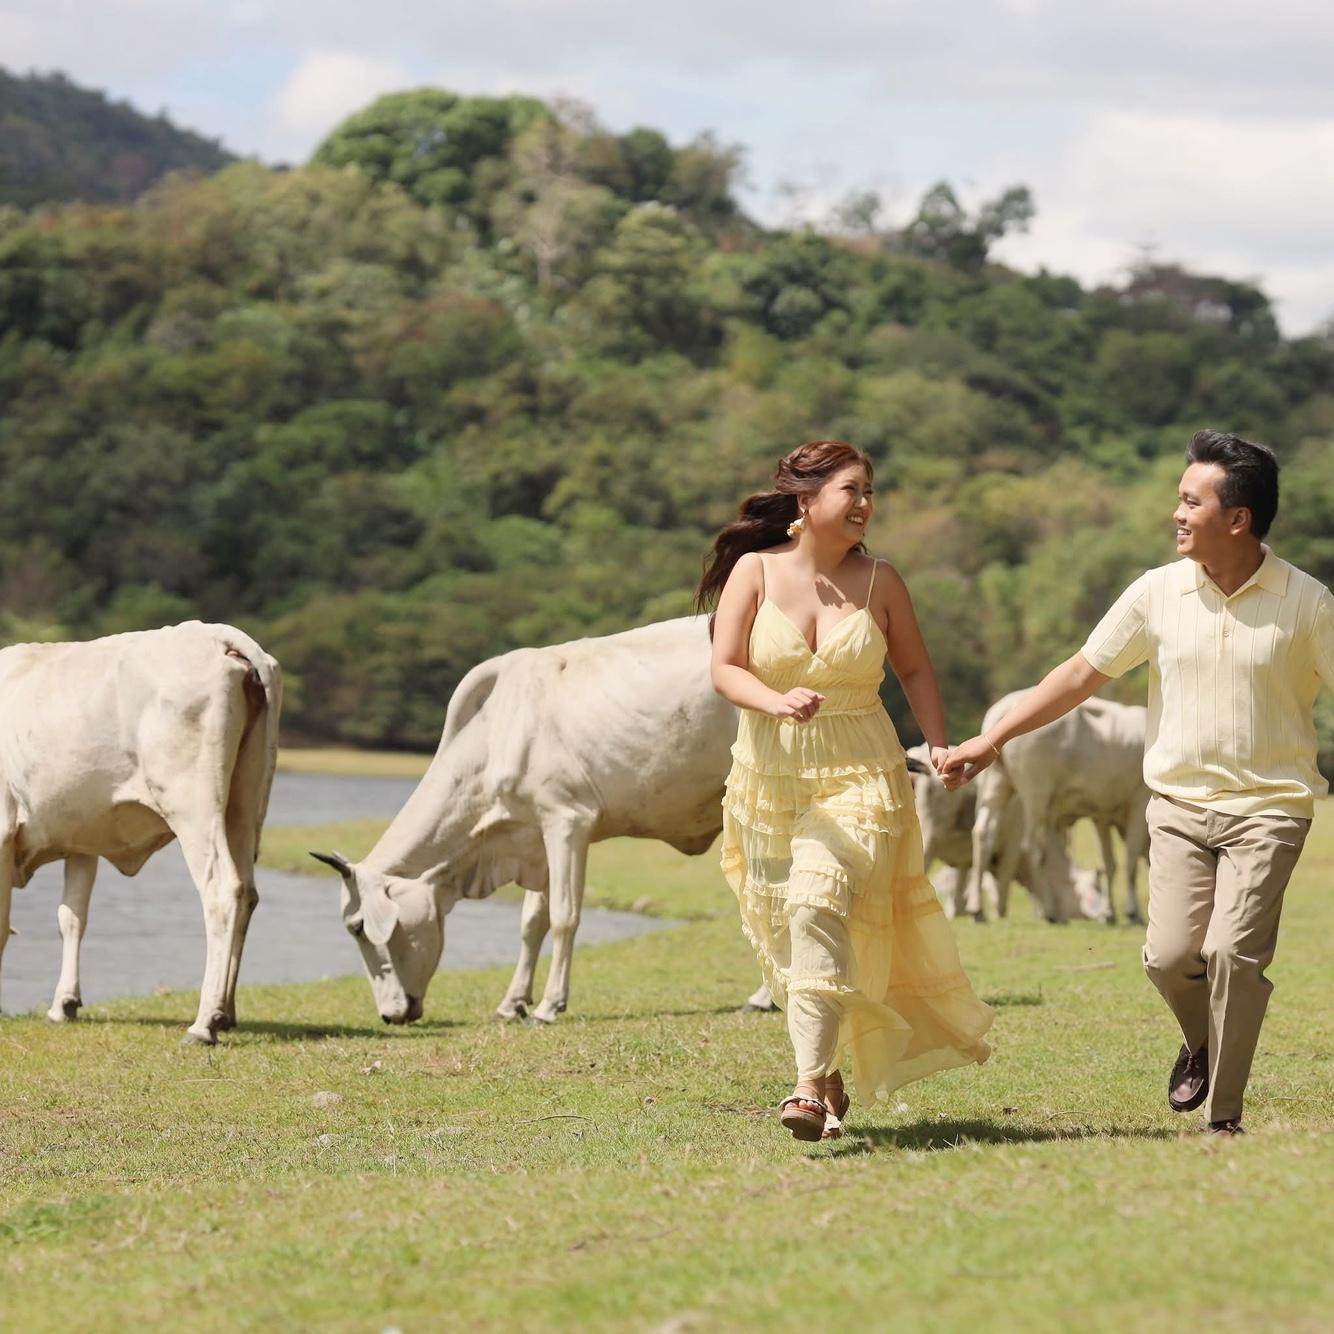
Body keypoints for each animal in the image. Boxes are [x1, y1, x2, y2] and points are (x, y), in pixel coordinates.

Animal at [0, 622, 281, 1043]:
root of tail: (216, 634)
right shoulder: (82, 838)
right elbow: (72, 916)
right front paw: (63, 1005)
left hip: (193, 804)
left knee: (221, 890)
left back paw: (203, 1023)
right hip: (243, 804)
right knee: (247, 892)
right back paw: (224, 1012)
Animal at [311, 616, 738, 1026]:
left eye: (357, 927)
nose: (389, 1014)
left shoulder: (566, 821)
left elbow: (564, 916)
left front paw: (549, 1005)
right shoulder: (535, 835)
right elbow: (533, 921)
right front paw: (511, 1003)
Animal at [966, 691, 1149, 925]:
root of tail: (1002, 710)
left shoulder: (1101, 815)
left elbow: (1110, 863)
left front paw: (1110, 913)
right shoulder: (1139, 801)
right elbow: (1130, 861)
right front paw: (1133, 913)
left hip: (996, 783)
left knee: (983, 834)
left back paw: (978, 910)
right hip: (1036, 794)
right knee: (1032, 848)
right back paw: (1049, 911)